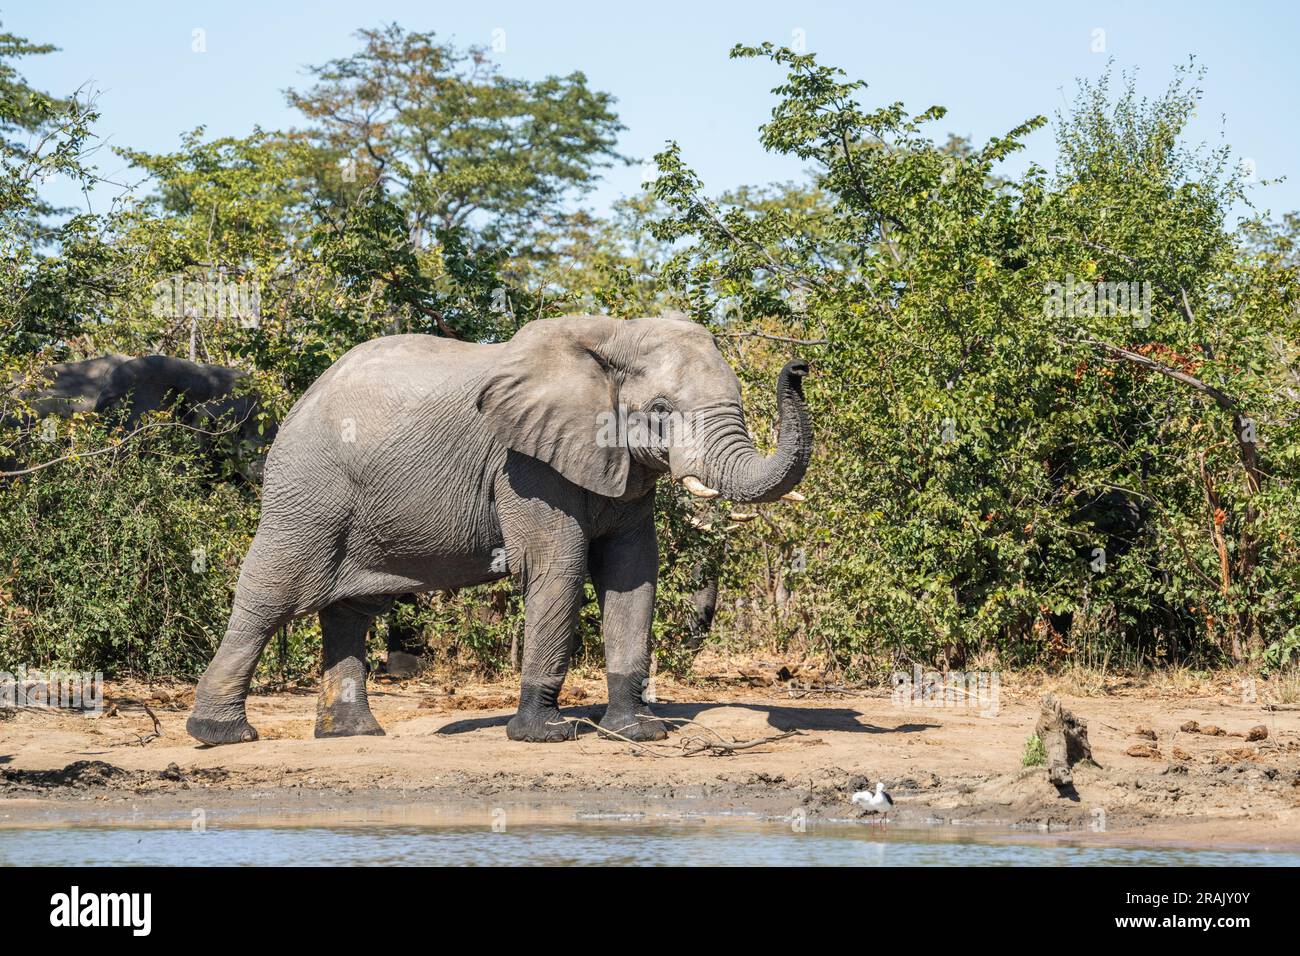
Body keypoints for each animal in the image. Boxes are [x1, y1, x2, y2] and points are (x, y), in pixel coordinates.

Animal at [187, 314, 806, 749]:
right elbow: (558, 568)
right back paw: (222, 735)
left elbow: (632, 576)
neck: (614, 335)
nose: (798, 368)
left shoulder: (622, 471)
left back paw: (354, 734)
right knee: (271, 593)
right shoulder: (525, 465)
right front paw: (546, 735)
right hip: (308, 489)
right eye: (658, 410)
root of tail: (300, 398)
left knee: (352, 610)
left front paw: (637, 732)